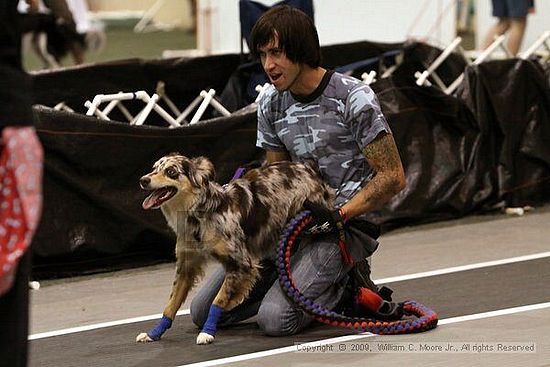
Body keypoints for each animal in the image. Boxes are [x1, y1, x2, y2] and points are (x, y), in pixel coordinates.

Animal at [137, 152, 336, 344]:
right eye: (154, 168)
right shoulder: (187, 266)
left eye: (171, 171)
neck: (198, 215)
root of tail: (307, 167)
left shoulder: (240, 263)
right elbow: (171, 304)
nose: (143, 180)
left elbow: (217, 301)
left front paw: (207, 331)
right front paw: (154, 333)